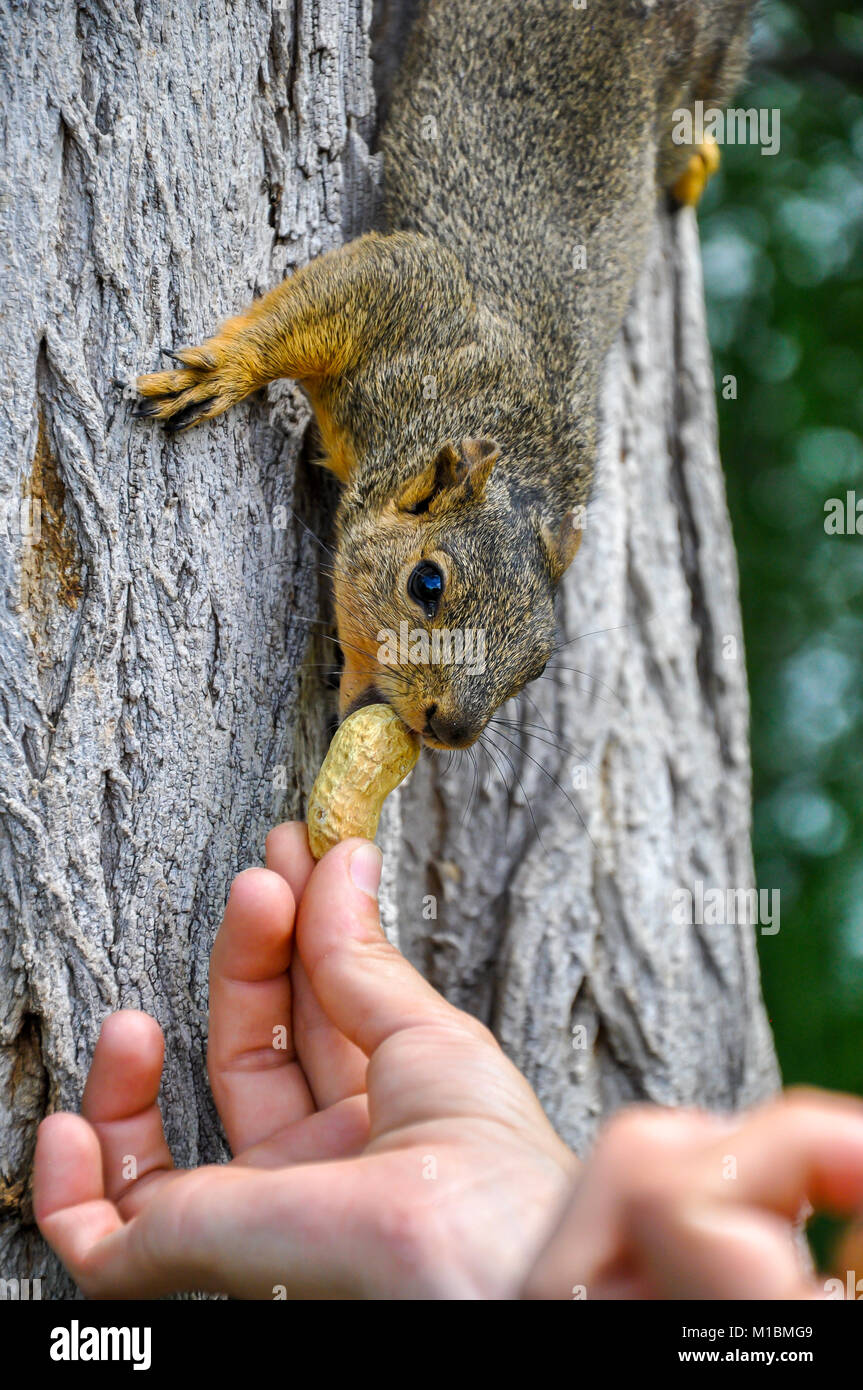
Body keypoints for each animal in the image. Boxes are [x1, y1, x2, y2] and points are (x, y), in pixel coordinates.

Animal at [135, 0, 754, 750]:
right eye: (426, 585)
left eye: (536, 666)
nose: (453, 730)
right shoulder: (413, 294)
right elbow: (329, 298)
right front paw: (224, 372)